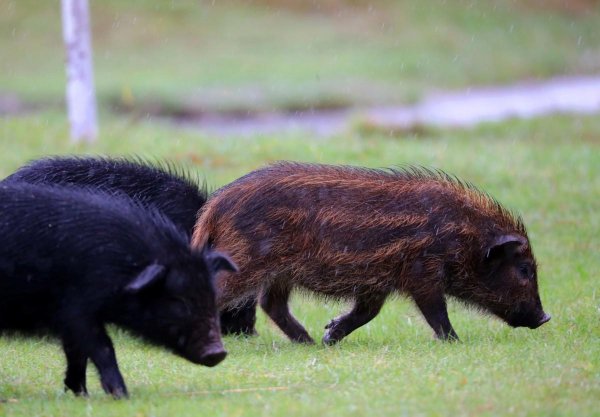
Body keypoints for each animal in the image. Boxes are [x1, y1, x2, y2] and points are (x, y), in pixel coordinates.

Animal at [0, 183, 237, 396]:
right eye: (178, 300)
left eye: (211, 296)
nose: (218, 352)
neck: (120, 265)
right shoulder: (74, 310)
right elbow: (102, 347)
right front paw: (120, 394)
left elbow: (76, 353)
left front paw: (80, 394)